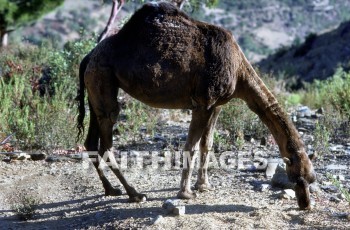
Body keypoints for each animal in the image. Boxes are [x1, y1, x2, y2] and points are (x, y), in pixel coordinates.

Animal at [76, 2, 318, 210]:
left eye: (312, 180)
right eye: (297, 179)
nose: (305, 204)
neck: (239, 71)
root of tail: (88, 56)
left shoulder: (216, 105)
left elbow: (206, 144)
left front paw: (203, 185)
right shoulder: (202, 103)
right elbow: (190, 147)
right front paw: (185, 193)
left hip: (96, 88)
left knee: (92, 142)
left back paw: (111, 189)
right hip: (102, 78)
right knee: (107, 140)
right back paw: (134, 193)